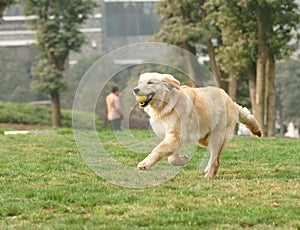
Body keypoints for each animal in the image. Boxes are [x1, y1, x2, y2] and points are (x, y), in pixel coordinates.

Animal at [132, 73, 262, 179]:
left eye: (150, 82)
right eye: (140, 82)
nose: (135, 89)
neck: (166, 104)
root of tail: (231, 101)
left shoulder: (175, 136)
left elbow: (159, 150)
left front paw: (145, 163)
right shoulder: (177, 138)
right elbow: (171, 157)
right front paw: (183, 160)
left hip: (216, 137)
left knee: (216, 161)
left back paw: (208, 176)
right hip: (203, 138)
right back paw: (207, 169)